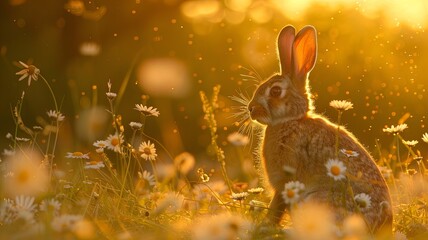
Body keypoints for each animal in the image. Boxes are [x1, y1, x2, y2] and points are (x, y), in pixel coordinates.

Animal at [247, 24, 392, 234]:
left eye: (275, 91)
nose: (250, 109)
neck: (291, 120)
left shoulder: (286, 182)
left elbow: (277, 207)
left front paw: (265, 226)